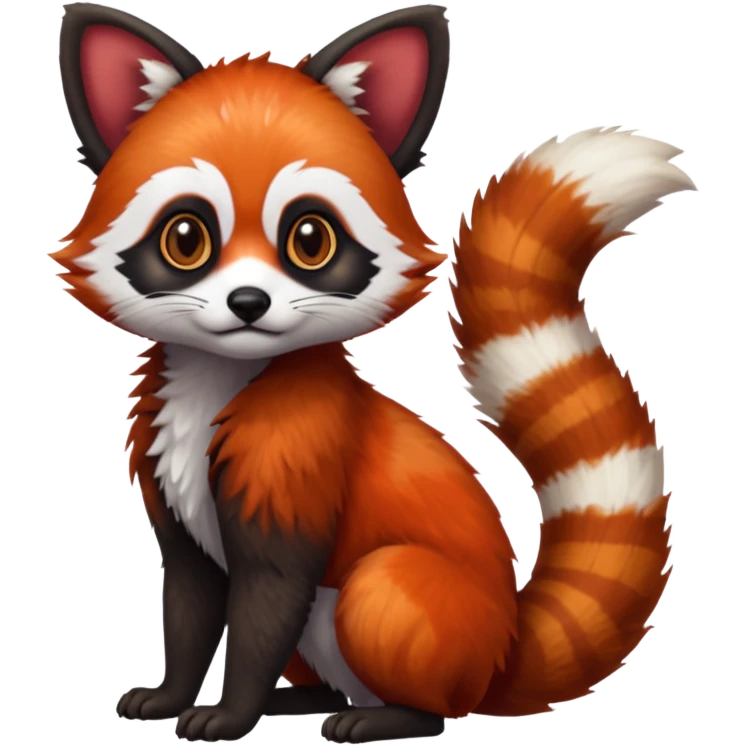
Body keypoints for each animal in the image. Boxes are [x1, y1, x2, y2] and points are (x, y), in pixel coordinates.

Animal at [54, 2, 693, 743]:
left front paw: (231, 711)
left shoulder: (299, 455)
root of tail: (500, 649)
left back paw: (388, 714)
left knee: (392, 613)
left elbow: (269, 591)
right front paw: (173, 692)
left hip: (414, 609)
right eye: (186, 238)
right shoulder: (170, 479)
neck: (220, 379)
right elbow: (189, 596)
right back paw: (303, 696)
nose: (248, 303)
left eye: (310, 238)